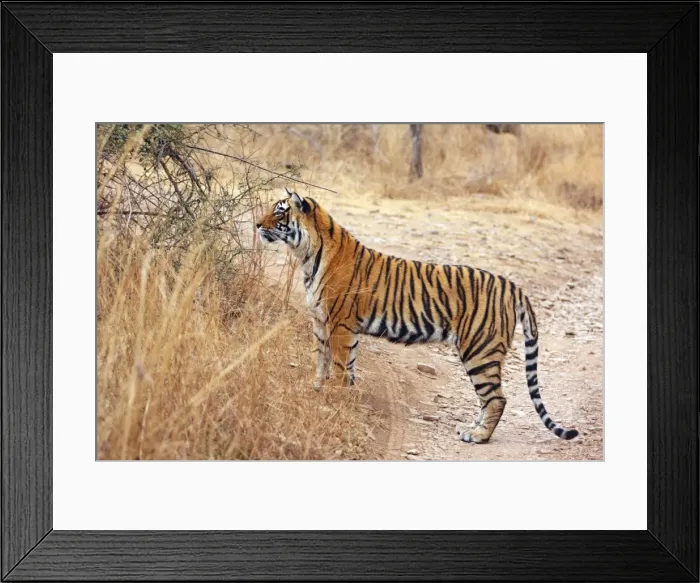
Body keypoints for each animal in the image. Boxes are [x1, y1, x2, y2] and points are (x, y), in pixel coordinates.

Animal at [256, 188, 579, 444]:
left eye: (279, 212)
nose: (257, 224)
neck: (307, 255)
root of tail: (512, 285)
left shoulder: (340, 325)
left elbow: (338, 365)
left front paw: (333, 398)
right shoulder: (322, 322)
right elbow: (325, 361)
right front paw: (319, 390)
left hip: (479, 349)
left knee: (497, 398)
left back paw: (478, 436)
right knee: (489, 399)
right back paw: (471, 428)